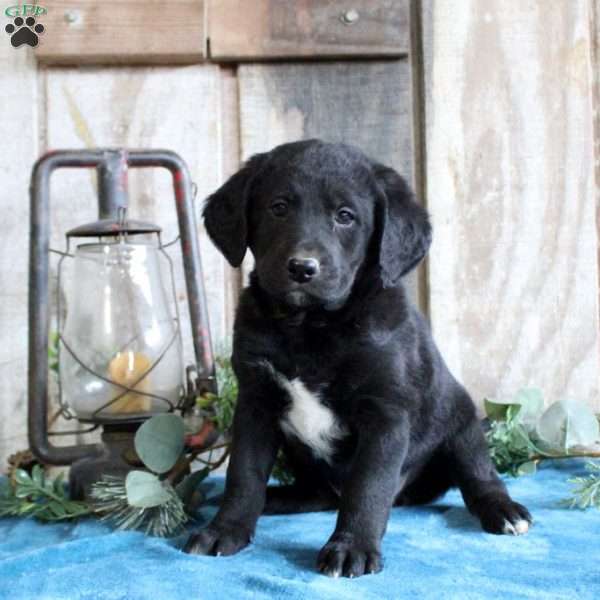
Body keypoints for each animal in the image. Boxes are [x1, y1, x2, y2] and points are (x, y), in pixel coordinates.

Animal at [184, 139, 528, 576]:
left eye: (345, 217)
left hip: (462, 421)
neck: (309, 326)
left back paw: (504, 511)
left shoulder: (385, 414)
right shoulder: (255, 402)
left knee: (478, 474)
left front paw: (352, 547)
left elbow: (368, 487)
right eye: (279, 207)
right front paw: (225, 530)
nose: (303, 267)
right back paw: (277, 498)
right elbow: (243, 475)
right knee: (321, 493)